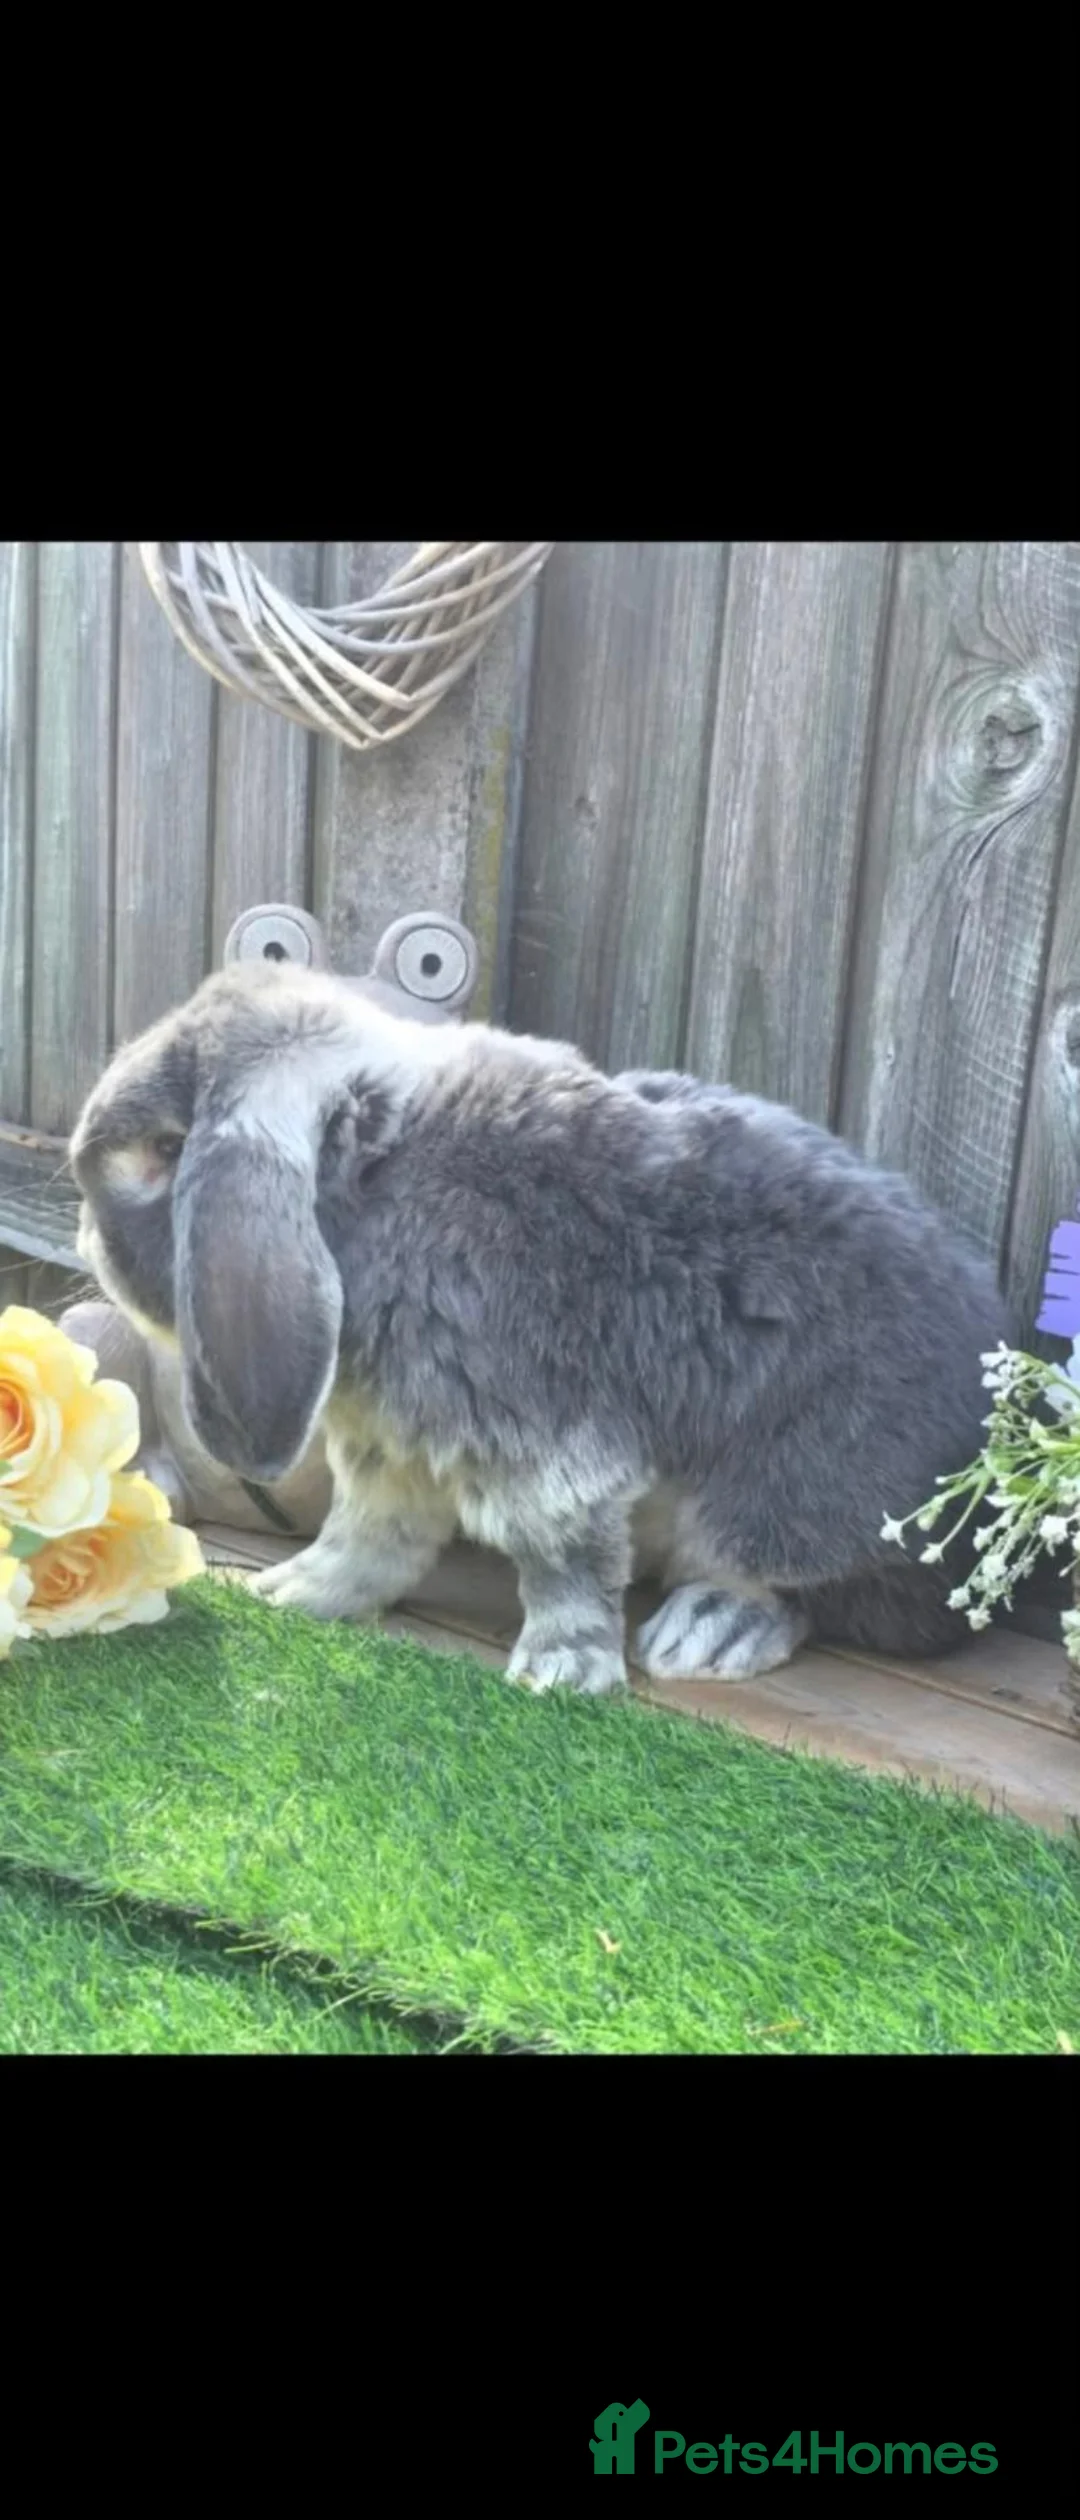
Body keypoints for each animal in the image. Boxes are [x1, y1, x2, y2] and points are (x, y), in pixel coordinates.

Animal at [67, 959, 1015, 1695]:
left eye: (162, 1150)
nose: (81, 1235)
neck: (381, 1192)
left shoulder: (541, 1442)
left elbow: (561, 1559)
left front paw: (562, 1672)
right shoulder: (392, 1449)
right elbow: (371, 1538)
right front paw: (297, 1594)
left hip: (788, 1497)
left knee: (815, 1590)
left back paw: (713, 1626)